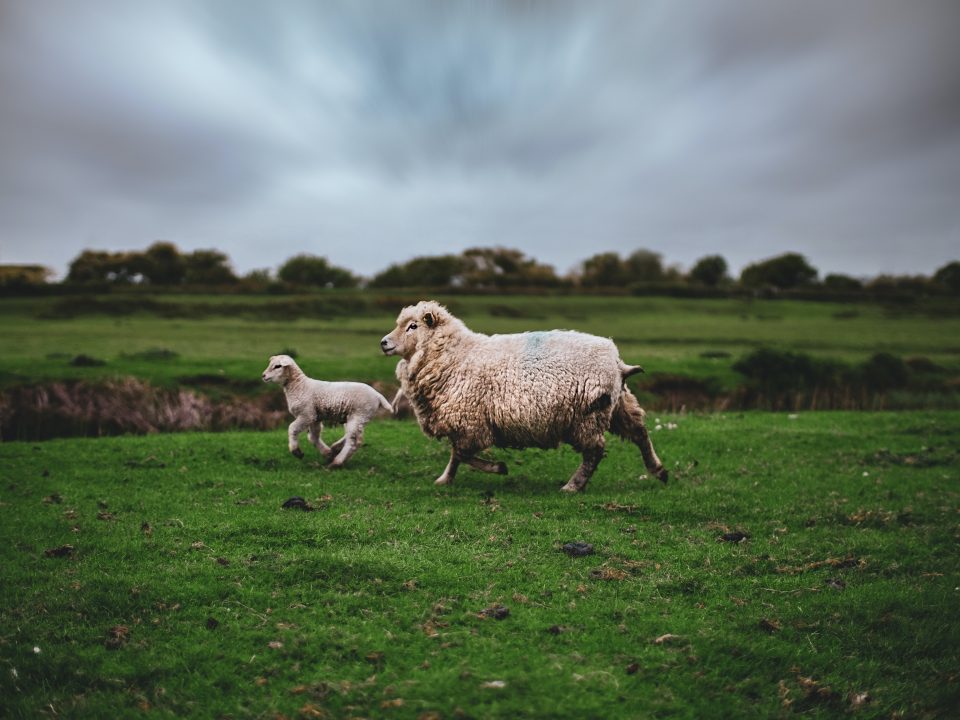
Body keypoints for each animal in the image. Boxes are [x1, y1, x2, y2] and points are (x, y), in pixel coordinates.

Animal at [260, 354, 392, 466]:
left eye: (278, 366)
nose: (263, 376)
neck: (299, 386)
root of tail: (377, 395)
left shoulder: (306, 414)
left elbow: (292, 428)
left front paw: (296, 451)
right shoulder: (315, 417)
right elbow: (313, 437)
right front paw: (327, 453)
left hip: (359, 414)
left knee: (354, 441)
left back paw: (337, 462)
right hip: (358, 417)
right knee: (355, 436)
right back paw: (336, 449)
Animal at [376, 300, 668, 492]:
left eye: (413, 326)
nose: (383, 343)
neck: (455, 355)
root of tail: (617, 363)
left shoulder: (471, 423)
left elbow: (461, 453)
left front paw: (498, 468)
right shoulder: (465, 423)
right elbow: (456, 456)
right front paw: (445, 480)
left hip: (588, 416)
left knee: (594, 453)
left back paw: (573, 485)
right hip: (619, 406)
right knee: (640, 433)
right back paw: (658, 470)